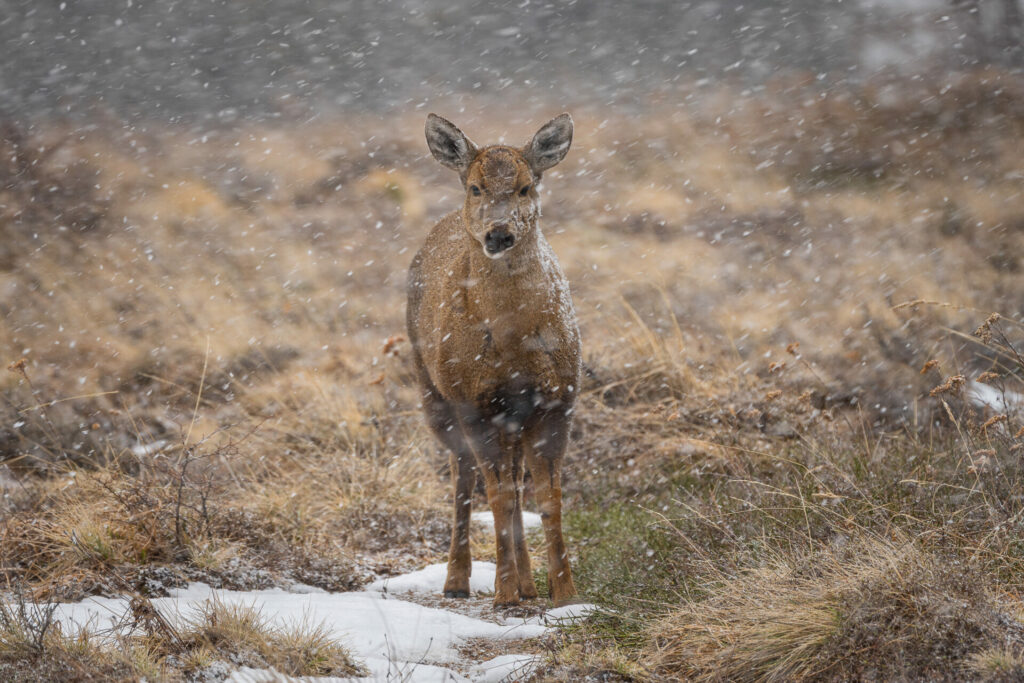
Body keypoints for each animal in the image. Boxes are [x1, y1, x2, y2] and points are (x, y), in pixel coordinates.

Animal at [407, 113, 585, 610]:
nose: (499, 233)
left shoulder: (558, 398)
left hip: (512, 418)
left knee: (513, 479)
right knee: (465, 480)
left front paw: (566, 593)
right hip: (435, 393)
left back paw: (527, 585)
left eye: (526, 186)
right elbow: (498, 495)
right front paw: (503, 592)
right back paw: (459, 580)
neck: (512, 345)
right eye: (475, 187)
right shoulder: (474, 400)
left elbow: (549, 496)